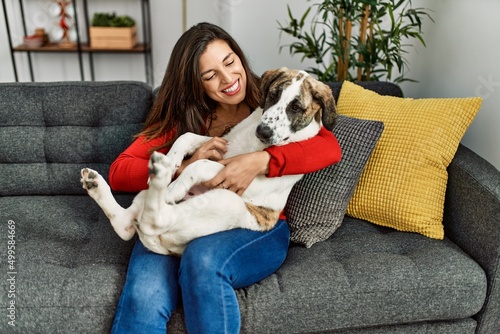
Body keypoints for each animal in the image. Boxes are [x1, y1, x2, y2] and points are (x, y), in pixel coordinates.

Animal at [80, 68, 336, 256]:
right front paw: (171, 161)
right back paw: (99, 183)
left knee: (156, 219)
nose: (263, 131)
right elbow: (187, 136)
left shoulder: (254, 180)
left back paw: (162, 182)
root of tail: (166, 249)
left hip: (226, 201)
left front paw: (174, 186)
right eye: (273, 95)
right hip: (149, 200)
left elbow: (201, 164)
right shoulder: (223, 143)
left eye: (296, 107)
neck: (254, 144)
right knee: (125, 224)